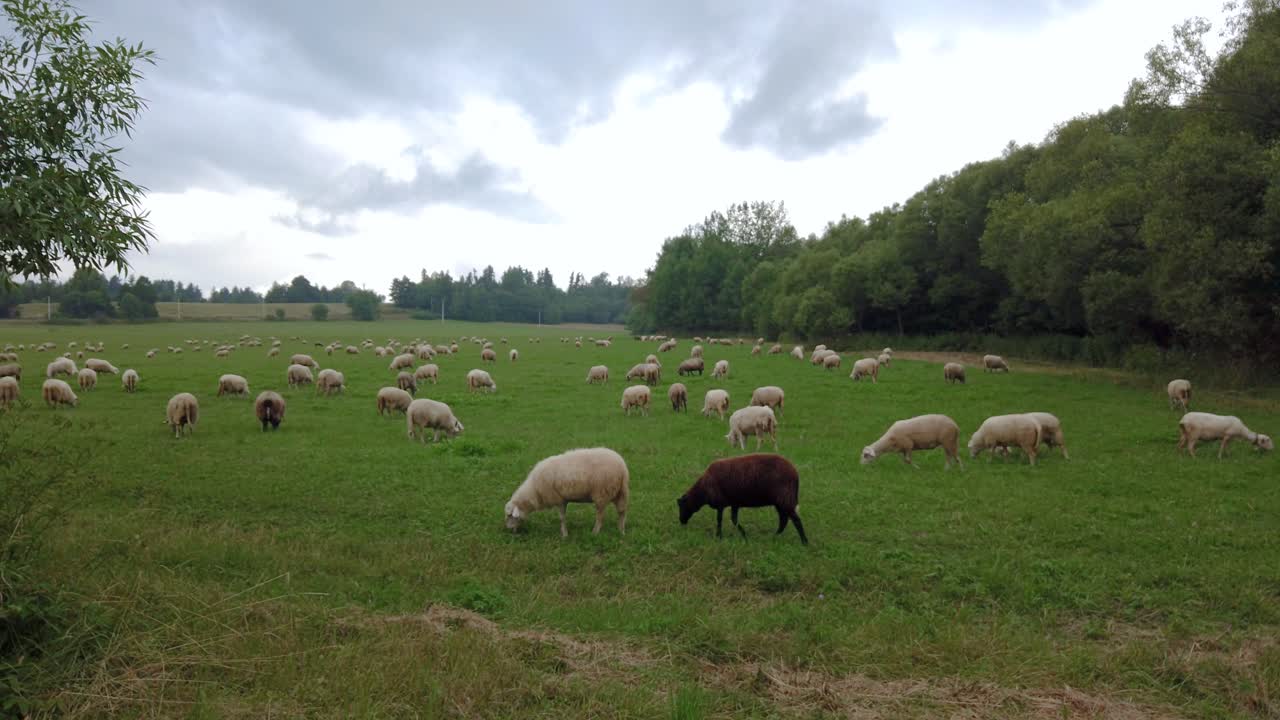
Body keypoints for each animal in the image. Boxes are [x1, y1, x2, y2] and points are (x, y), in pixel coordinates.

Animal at [676, 454, 807, 545]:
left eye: (682, 506)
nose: (681, 522)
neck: (702, 490)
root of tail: (795, 473)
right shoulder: (735, 503)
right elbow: (734, 520)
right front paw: (744, 534)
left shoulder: (720, 503)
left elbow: (719, 520)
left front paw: (719, 536)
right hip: (780, 501)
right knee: (784, 519)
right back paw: (774, 536)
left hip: (785, 498)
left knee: (795, 520)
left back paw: (804, 542)